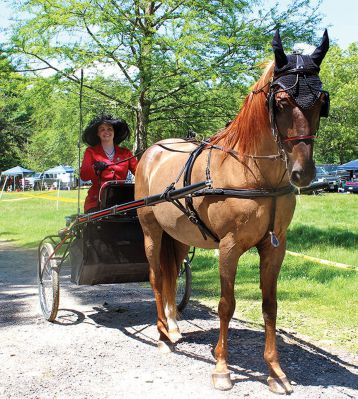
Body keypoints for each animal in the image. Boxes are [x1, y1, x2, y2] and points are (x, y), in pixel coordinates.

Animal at [135, 30, 330, 394]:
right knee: (155, 277)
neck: (254, 173)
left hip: (178, 236)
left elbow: (270, 305)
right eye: (282, 102)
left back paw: (173, 327)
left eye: (322, 102)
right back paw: (162, 334)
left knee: (171, 275)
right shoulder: (229, 247)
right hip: (151, 232)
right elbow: (227, 305)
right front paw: (222, 368)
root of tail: (152, 151)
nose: (303, 172)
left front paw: (275, 371)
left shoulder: (274, 247)